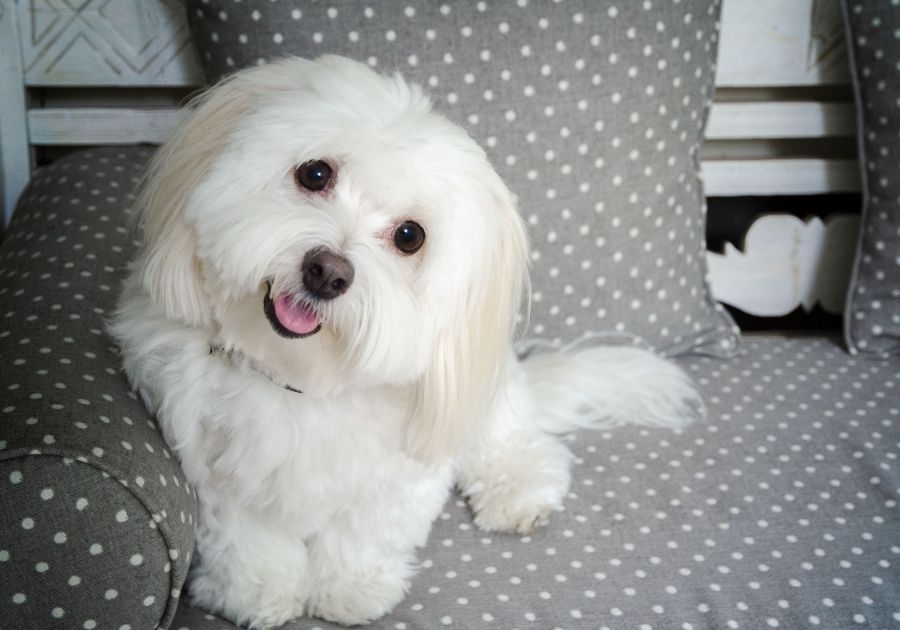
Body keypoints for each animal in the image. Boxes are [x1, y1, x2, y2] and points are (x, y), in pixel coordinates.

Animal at [110, 56, 704, 628]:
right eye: (315, 173)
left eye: (409, 236)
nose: (327, 272)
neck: (301, 378)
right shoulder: (210, 469)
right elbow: (244, 535)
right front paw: (257, 591)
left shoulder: (402, 475)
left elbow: (367, 530)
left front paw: (350, 588)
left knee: (512, 442)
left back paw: (519, 489)